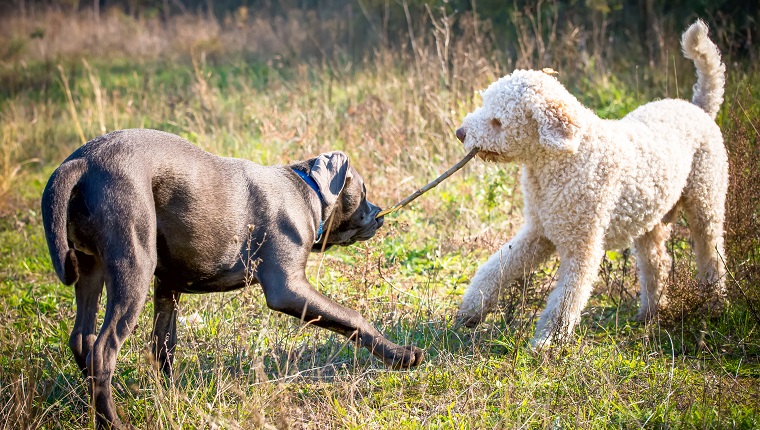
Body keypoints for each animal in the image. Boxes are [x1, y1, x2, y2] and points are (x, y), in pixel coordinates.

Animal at [41, 129, 424, 428]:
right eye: (362, 190)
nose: (380, 215)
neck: (307, 191)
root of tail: (81, 163)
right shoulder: (288, 287)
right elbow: (353, 318)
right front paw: (401, 356)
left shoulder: (168, 288)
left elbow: (163, 347)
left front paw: (169, 398)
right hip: (132, 266)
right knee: (102, 351)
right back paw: (112, 423)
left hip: (91, 269)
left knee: (82, 340)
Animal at [454, 21, 728, 350]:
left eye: (497, 121)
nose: (460, 132)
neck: (560, 161)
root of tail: (699, 108)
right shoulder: (538, 231)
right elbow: (497, 266)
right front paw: (471, 310)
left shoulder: (582, 246)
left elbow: (566, 299)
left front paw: (547, 342)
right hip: (649, 221)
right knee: (658, 263)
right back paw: (649, 314)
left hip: (706, 202)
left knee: (712, 255)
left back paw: (714, 305)